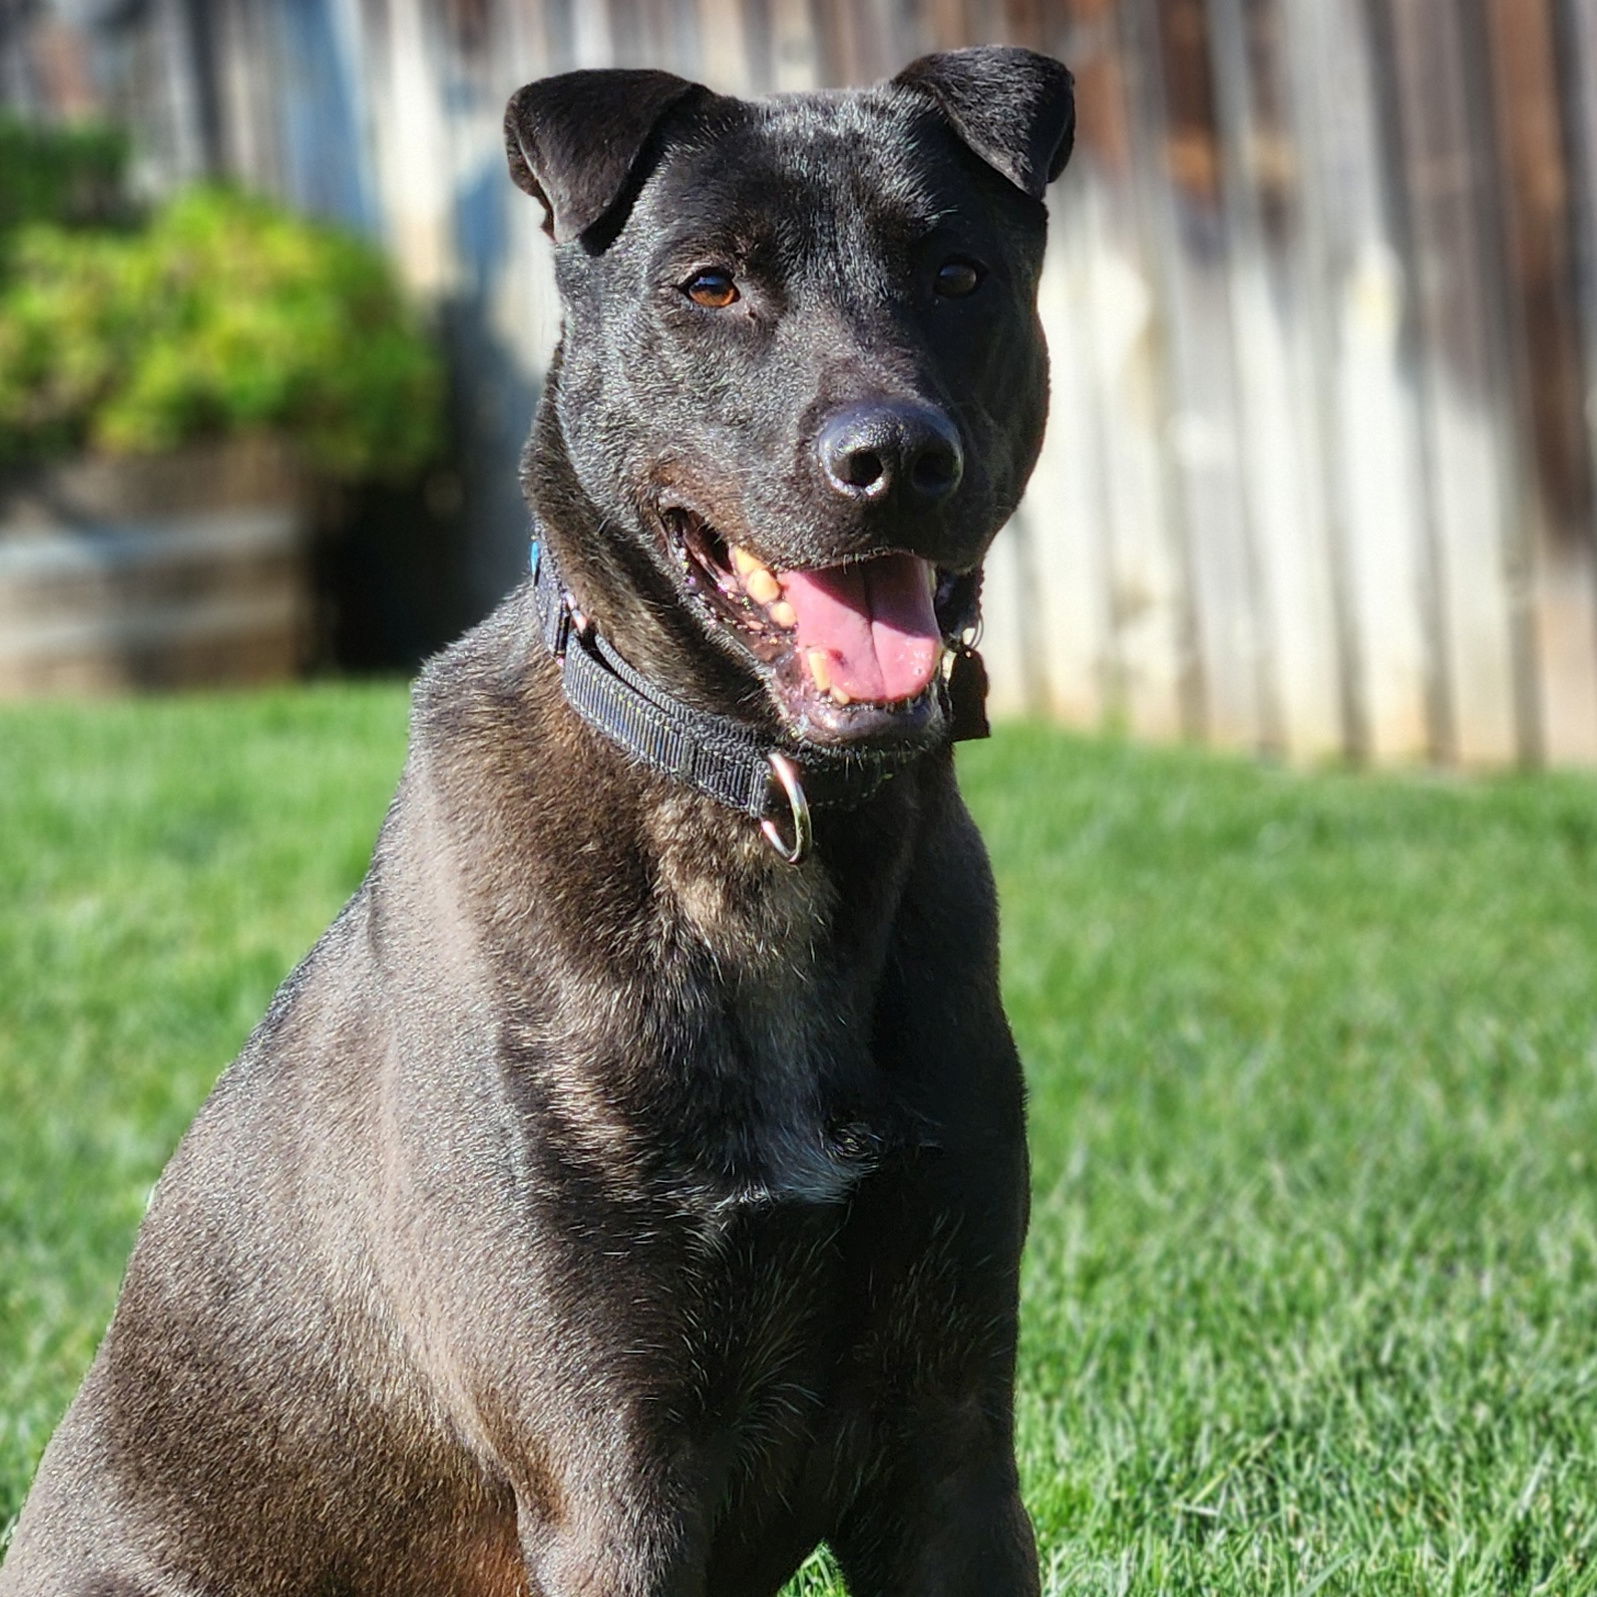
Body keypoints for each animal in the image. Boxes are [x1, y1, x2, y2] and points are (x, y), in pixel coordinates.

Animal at [3, 43, 1073, 1590]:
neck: (751, 815)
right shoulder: (609, 1468)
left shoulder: (951, 1444)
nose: (893, 457)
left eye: (953, 272)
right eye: (709, 285)